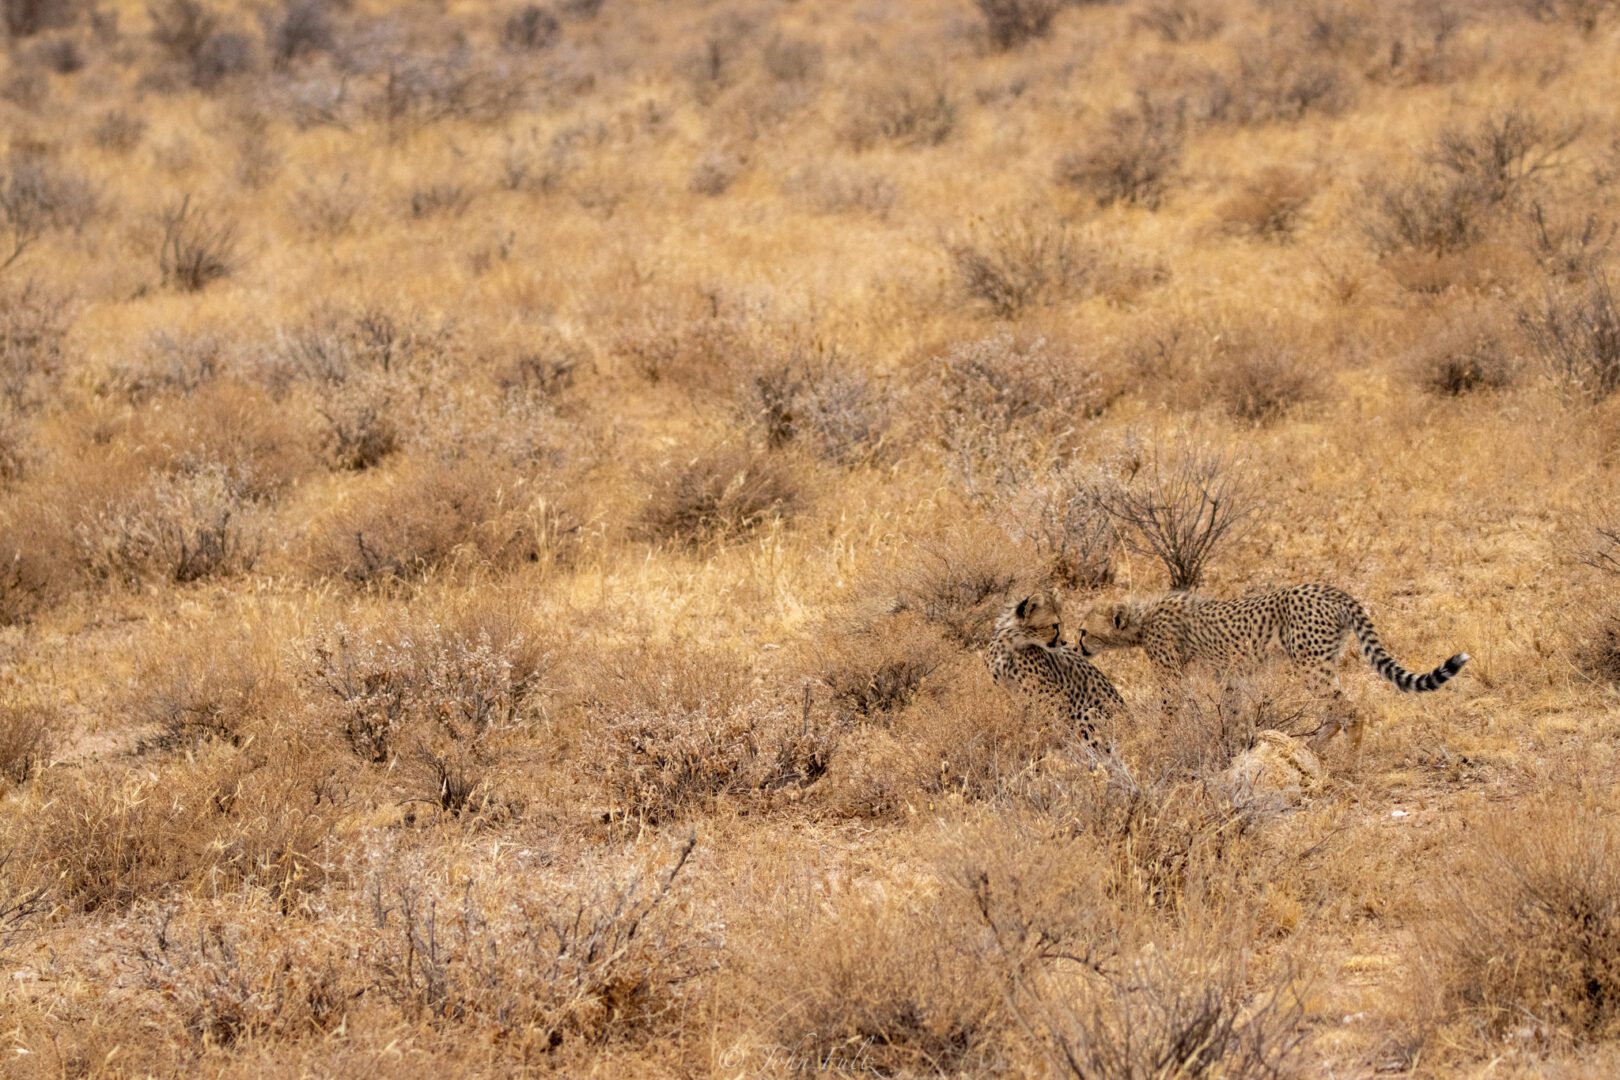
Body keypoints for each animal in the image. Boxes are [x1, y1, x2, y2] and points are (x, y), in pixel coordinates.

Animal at [1075, 582, 1470, 751]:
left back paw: (1349, 760)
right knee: (1334, 710)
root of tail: (1331, 589)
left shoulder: (1172, 677)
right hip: (1320, 662)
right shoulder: (1231, 677)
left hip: (1310, 664)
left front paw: (1156, 742)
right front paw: (1236, 745)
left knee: (1349, 710)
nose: (1074, 645)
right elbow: (1233, 712)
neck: (1142, 620)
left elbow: (1168, 713)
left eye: (1083, 630)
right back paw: (1312, 747)